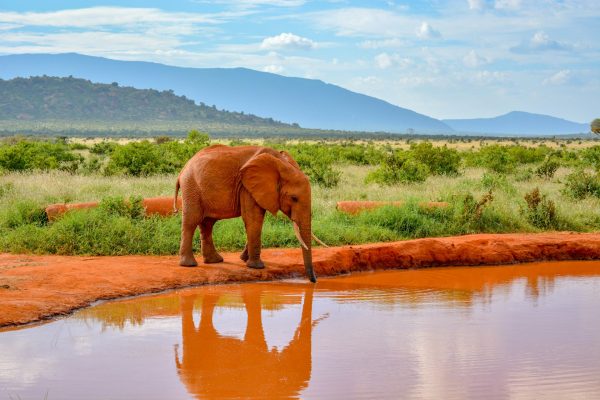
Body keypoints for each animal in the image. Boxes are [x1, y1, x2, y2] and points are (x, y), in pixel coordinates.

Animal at [173, 145, 324, 282]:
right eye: (294, 198)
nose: (313, 281)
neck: (281, 164)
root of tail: (182, 170)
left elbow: (253, 220)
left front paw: (244, 259)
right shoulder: (247, 187)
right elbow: (254, 218)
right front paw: (257, 266)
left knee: (207, 223)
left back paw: (214, 261)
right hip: (191, 187)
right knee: (192, 221)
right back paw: (189, 265)